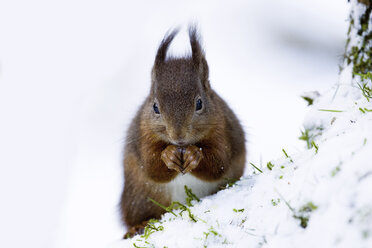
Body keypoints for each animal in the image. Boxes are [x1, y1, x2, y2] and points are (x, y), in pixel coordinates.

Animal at [120, 26, 246, 237]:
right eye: (155, 107)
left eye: (199, 103)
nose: (178, 137)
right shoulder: (143, 134)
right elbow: (151, 166)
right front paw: (169, 154)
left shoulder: (222, 129)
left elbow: (219, 162)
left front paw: (194, 155)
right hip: (137, 198)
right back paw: (137, 226)